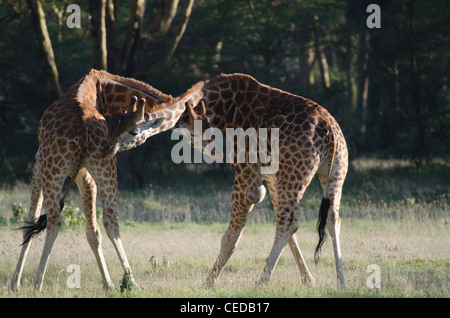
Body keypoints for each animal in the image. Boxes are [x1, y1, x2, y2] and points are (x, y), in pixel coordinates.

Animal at [7, 69, 179, 290]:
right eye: (120, 124)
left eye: (133, 130)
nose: (110, 146)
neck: (100, 89)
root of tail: (82, 129)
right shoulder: (84, 173)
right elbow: (93, 232)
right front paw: (108, 283)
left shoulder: (39, 163)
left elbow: (30, 221)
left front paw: (15, 283)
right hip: (106, 168)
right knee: (111, 222)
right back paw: (131, 282)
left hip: (53, 169)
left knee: (54, 221)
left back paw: (38, 283)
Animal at [104, 74, 348, 288]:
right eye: (118, 122)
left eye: (133, 131)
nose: (109, 148)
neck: (225, 108)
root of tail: (328, 130)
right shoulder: (270, 178)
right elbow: (291, 235)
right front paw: (309, 280)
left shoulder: (246, 176)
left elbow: (230, 238)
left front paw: (209, 283)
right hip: (333, 172)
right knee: (331, 219)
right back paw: (341, 282)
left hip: (294, 175)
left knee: (288, 223)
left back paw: (260, 283)